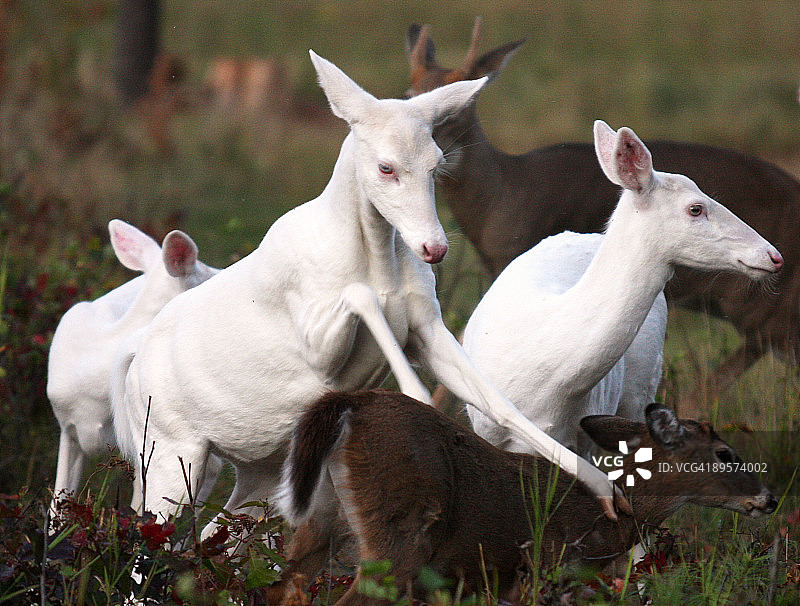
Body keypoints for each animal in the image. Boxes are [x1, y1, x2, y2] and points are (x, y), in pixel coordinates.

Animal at [110, 50, 630, 533]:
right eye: (385, 168)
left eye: (437, 163)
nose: (434, 248)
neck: (376, 259)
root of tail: (132, 370)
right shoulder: (315, 345)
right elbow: (362, 300)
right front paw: (414, 396)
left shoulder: (427, 324)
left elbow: (496, 401)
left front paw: (606, 490)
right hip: (170, 449)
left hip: (259, 468)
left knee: (212, 531)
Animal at [272, 390, 777, 605]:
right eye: (724, 454)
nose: (769, 499)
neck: (609, 519)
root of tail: (353, 403)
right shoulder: (543, 569)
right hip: (400, 531)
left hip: (320, 518)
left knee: (282, 586)